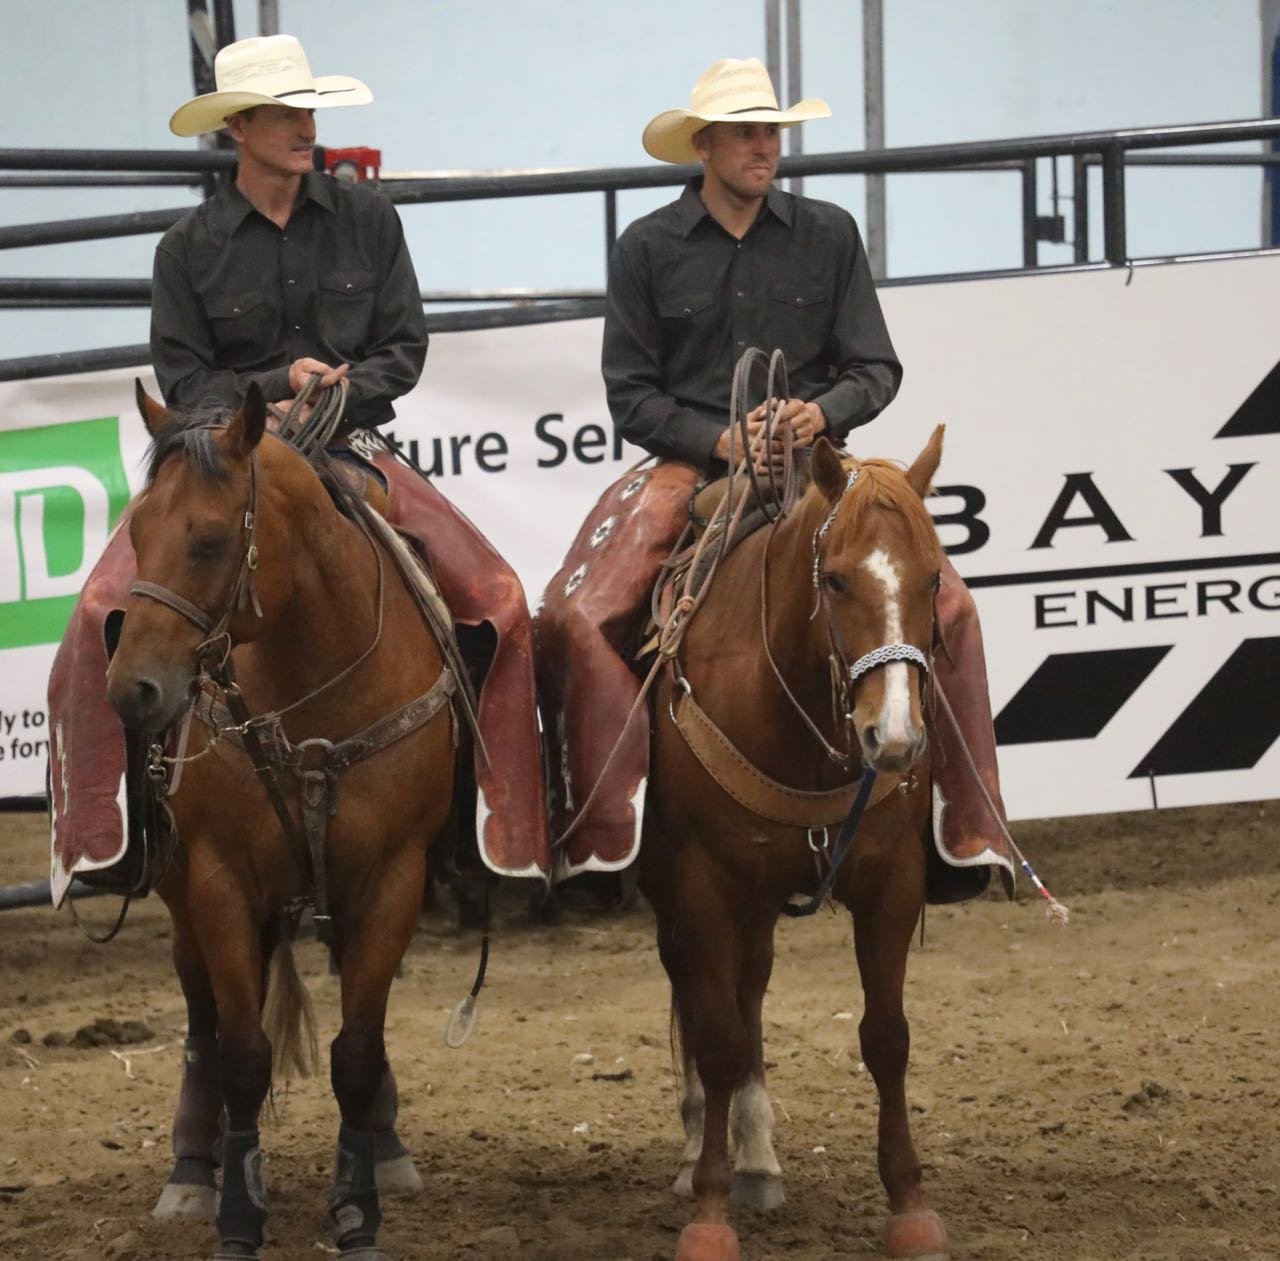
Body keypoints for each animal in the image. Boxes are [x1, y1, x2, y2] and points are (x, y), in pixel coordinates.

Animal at [104, 383, 457, 1261]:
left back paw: (386, 1148)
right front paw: (238, 1213)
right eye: (136, 532)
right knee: (202, 1020)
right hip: (184, 899)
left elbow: (357, 1052)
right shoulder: (220, 881)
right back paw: (193, 1168)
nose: (133, 691)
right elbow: (240, 1054)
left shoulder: (392, 879)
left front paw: (358, 1211)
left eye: (208, 539)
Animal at [641, 427, 953, 1261]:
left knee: (748, 989)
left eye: (933, 577)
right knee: (700, 995)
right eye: (837, 580)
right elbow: (717, 1040)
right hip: (683, 894)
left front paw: (910, 1203)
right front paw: (710, 1212)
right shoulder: (704, 884)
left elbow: (887, 1035)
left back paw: (756, 1156)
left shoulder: (892, 880)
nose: (896, 738)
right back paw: (700, 1150)